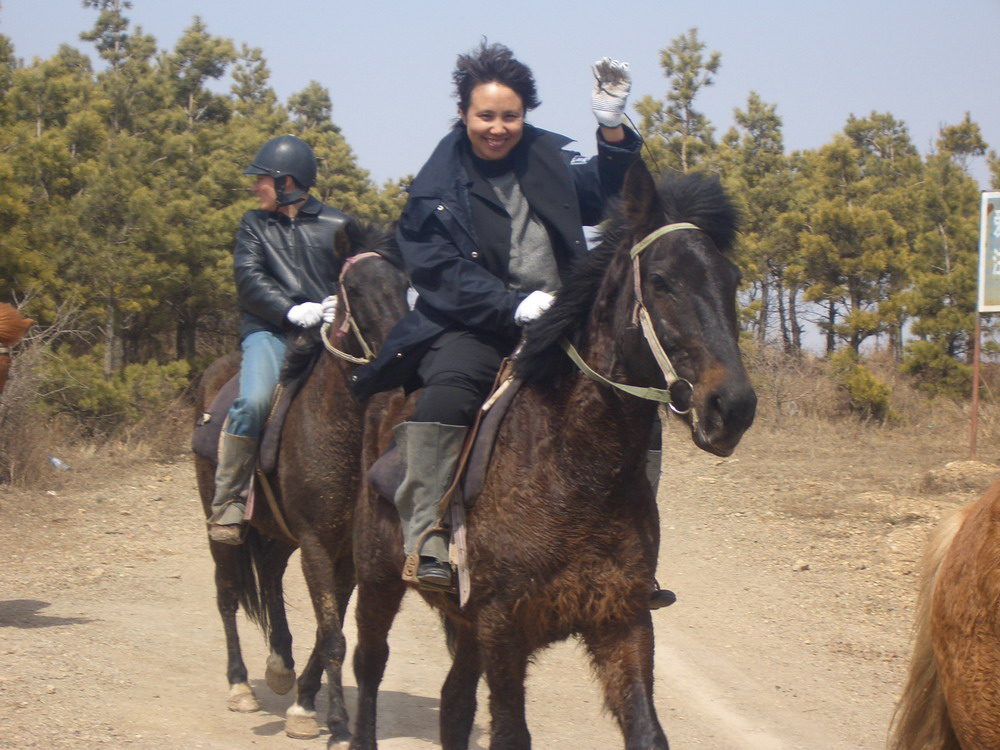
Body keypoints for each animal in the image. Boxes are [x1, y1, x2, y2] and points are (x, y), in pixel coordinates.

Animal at [191, 226, 410, 748]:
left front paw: (305, 704)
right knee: (227, 593)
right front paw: (336, 724)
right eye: (356, 290)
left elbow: (328, 631)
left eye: (405, 284)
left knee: (270, 575)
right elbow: (332, 636)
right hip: (222, 525)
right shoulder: (315, 542)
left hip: (278, 533)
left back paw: (278, 664)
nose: (405, 356)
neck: (338, 425)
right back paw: (239, 684)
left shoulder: (344, 553)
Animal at [348, 163, 752, 750]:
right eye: (661, 281)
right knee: (370, 665)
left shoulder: (622, 620)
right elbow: (511, 733)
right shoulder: (503, 627)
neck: (575, 470)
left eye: (732, 280)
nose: (734, 406)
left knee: (453, 700)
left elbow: (647, 732)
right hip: (378, 580)